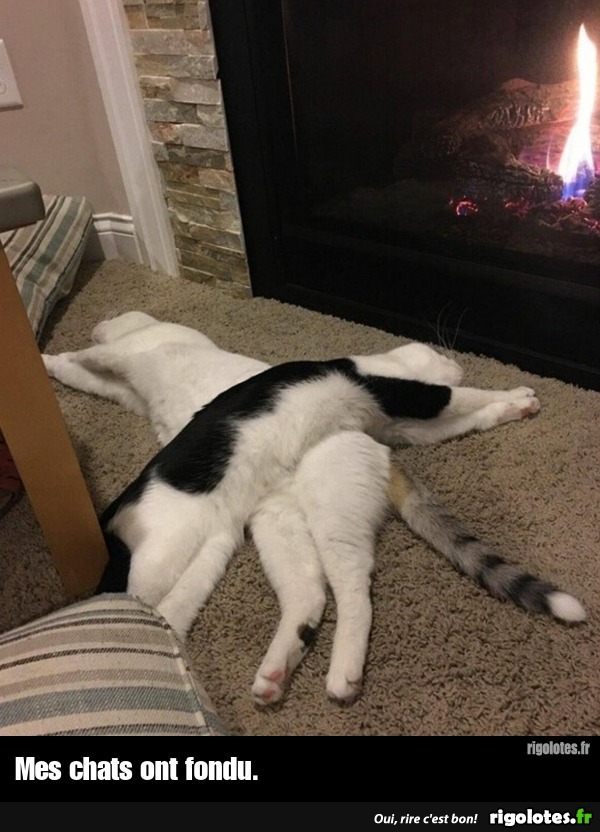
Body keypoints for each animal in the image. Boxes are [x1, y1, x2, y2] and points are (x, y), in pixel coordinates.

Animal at [43, 312, 585, 703]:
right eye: (434, 350)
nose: (455, 360)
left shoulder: (405, 420)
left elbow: (469, 410)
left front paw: (515, 404)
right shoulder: (408, 399)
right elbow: (464, 398)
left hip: (237, 541)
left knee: (315, 594)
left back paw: (280, 671)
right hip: (220, 543)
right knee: (337, 592)